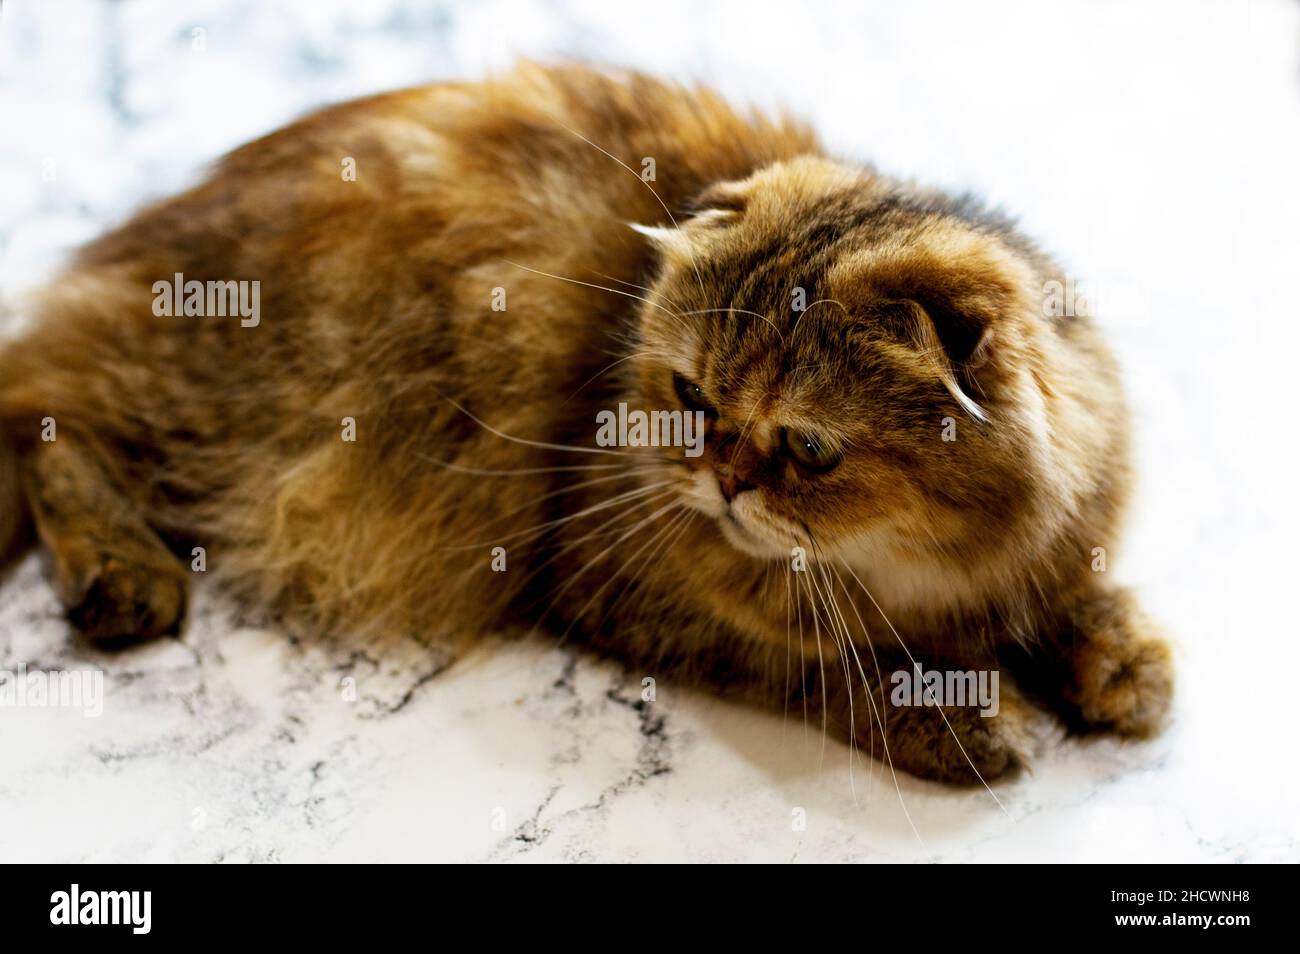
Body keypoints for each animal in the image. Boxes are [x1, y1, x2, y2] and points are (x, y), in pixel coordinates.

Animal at [0, 63, 1175, 790]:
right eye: (693, 400)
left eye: (807, 448)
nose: (721, 479)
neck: (920, 568)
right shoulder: (619, 578)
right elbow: (837, 665)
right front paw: (961, 714)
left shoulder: (1060, 530)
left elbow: (1082, 596)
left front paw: (1123, 666)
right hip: (230, 396)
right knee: (39, 416)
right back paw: (123, 577)